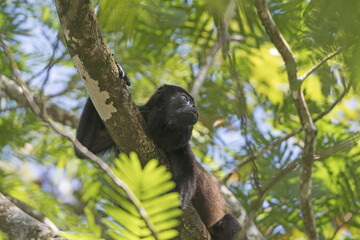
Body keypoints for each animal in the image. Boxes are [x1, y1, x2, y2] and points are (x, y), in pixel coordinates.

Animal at [75, 82, 240, 238]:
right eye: (185, 99)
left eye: (193, 103)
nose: (195, 107)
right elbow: (83, 146)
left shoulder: (182, 146)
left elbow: (187, 176)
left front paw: (179, 198)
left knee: (231, 225)